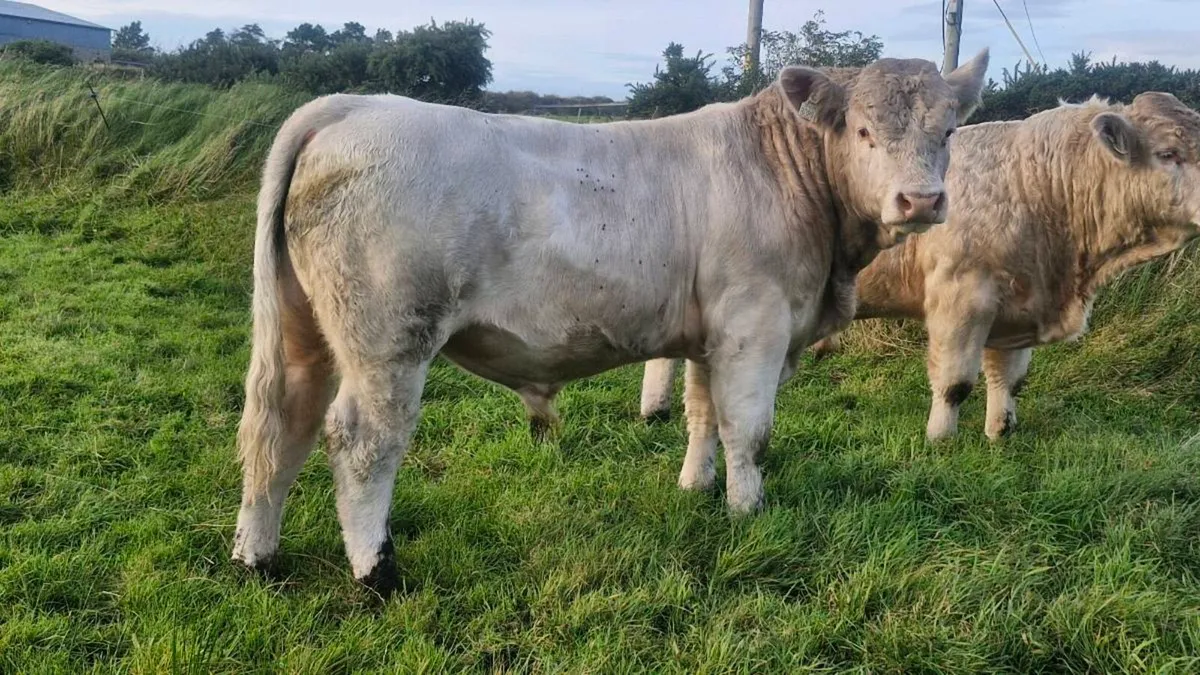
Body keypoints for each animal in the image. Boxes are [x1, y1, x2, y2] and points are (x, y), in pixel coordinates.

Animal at [231, 52, 990, 595]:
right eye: (863, 131)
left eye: (949, 130)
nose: (922, 200)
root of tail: (354, 106)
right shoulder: (756, 325)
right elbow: (749, 428)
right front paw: (749, 512)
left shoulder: (710, 334)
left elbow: (702, 413)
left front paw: (696, 489)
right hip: (389, 338)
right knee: (361, 440)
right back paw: (376, 572)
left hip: (305, 330)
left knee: (281, 422)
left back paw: (256, 558)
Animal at [640, 92, 1200, 463]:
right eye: (1169, 155)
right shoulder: (962, 296)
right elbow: (955, 382)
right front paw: (940, 440)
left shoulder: (1019, 303)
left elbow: (1010, 379)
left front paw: (1000, 431)